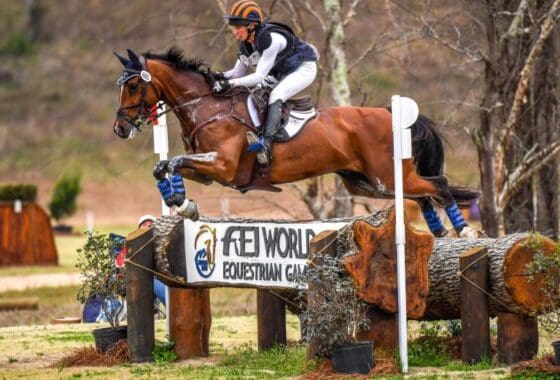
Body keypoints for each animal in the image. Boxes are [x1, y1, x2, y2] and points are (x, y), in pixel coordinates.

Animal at [115, 47, 482, 238]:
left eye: (133, 86)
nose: (120, 128)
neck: (208, 106)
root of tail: (388, 111)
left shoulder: (224, 166)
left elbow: (173, 162)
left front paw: (183, 204)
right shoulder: (208, 172)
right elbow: (163, 166)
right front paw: (183, 204)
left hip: (385, 177)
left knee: (439, 184)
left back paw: (463, 231)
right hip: (367, 183)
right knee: (423, 193)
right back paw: (439, 232)